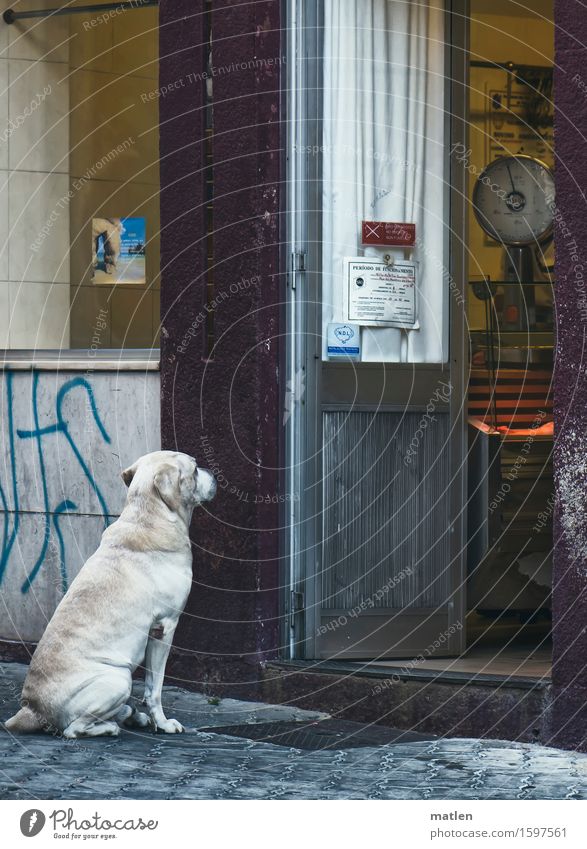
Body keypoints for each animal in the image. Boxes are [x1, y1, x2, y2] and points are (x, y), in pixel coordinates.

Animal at [4, 450, 216, 736]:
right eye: (194, 470)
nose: (214, 474)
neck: (148, 516)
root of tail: (32, 710)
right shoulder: (165, 627)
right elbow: (155, 688)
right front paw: (163, 723)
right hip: (119, 679)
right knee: (73, 729)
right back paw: (112, 726)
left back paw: (130, 715)